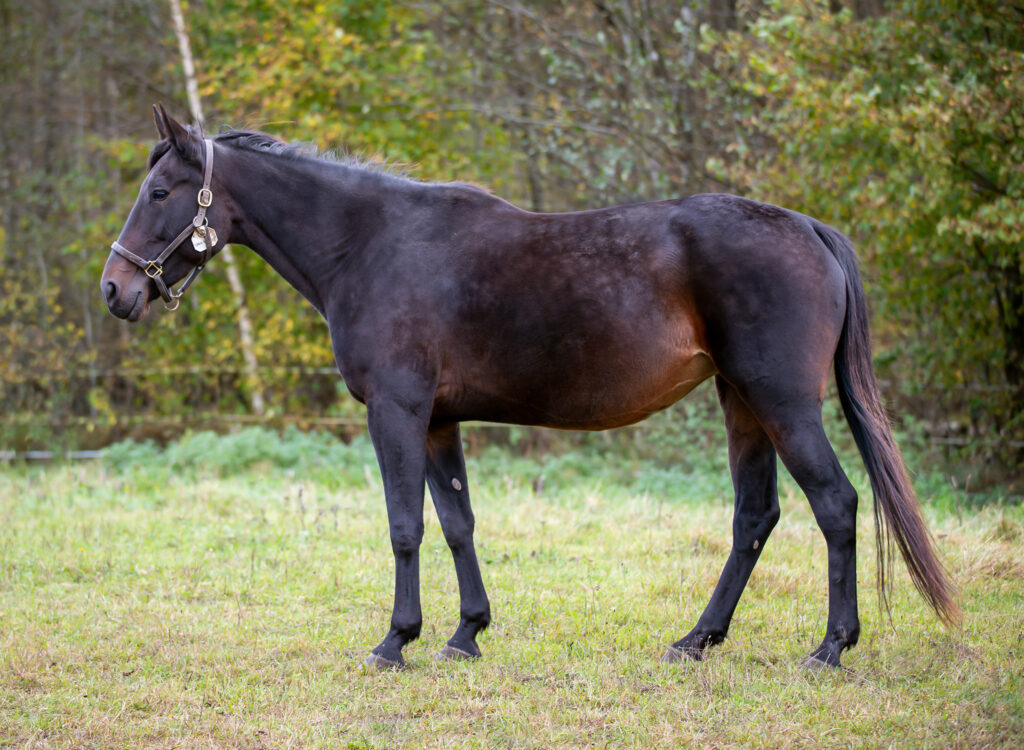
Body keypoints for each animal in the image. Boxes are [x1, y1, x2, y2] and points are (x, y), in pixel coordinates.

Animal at [101, 105, 959, 670]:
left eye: (160, 193)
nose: (116, 290)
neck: (371, 244)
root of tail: (808, 227)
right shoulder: (437, 420)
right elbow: (457, 523)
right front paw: (464, 634)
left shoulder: (398, 412)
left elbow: (405, 526)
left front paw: (395, 642)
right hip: (741, 402)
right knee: (756, 516)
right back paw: (696, 640)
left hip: (779, 402)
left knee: (836, 504)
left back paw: (830, 648)